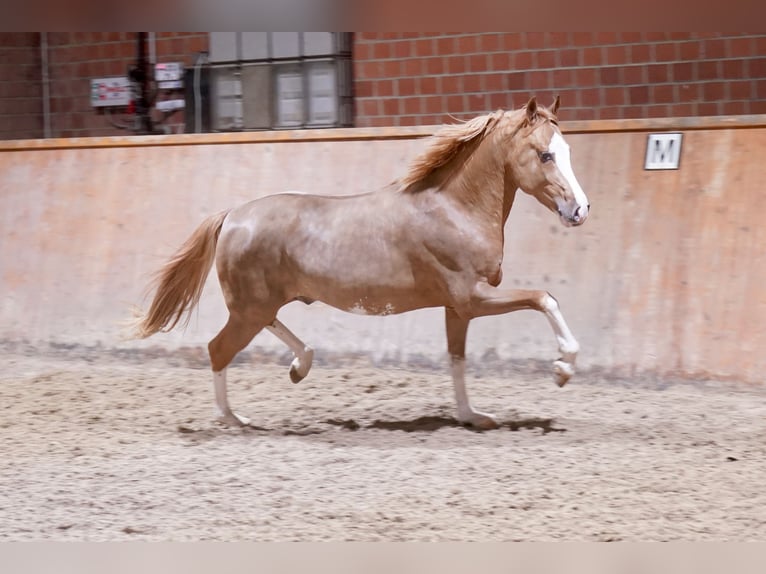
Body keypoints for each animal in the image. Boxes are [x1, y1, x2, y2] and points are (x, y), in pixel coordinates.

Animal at [134, 98, 588, 432]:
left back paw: (298, 368)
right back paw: (235, 420)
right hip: (250, 308)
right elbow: (544, 298)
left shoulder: (457, 308)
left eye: (567, 150)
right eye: (545, 155)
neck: (454, 209)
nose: (580, 209)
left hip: (258, 304)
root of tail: (231, 215)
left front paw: (472, 417)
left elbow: (457, 359)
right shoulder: (472, 297)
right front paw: (562, 368)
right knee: (218, 349)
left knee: (264, 332)